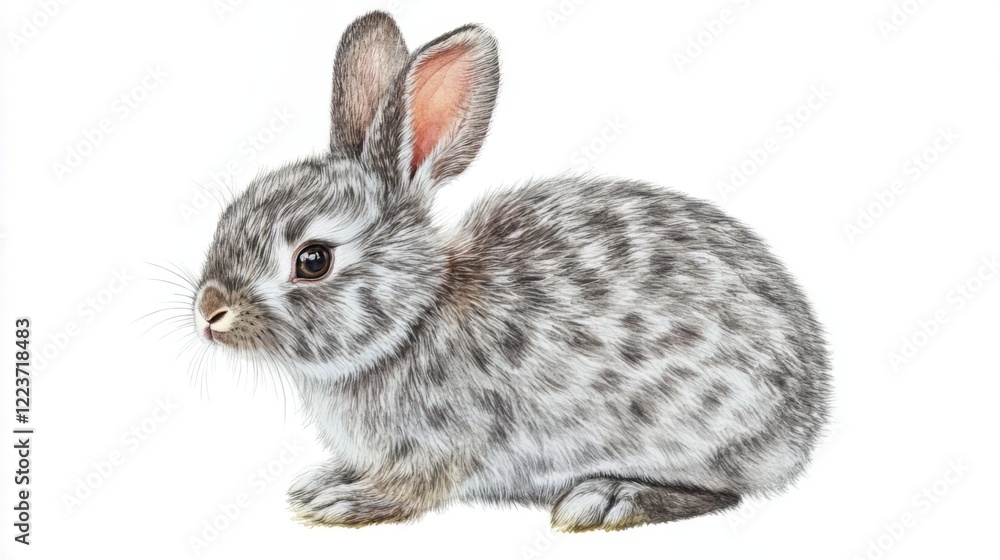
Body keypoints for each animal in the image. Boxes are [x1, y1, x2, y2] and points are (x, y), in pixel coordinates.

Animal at [192, 11, 831, 531]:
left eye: (313, 260)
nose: (209, 312)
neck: (411, 321)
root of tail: (810, 415)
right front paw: (322, 483)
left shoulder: (447, 442)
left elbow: (415, 488)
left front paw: (342, 503)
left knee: (723, 492)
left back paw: (607, 499)